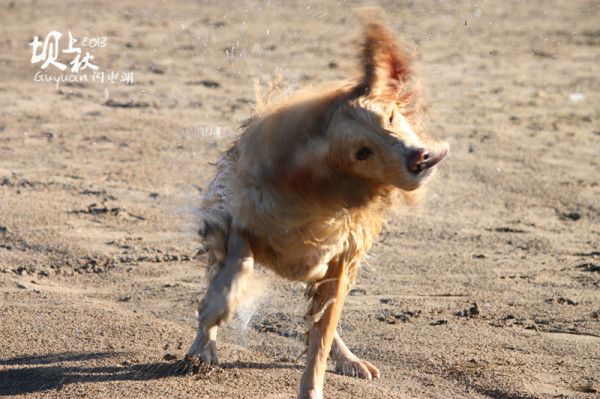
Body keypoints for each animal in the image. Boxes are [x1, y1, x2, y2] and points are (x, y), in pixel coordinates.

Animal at [183, 11, 450, 399]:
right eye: (362, 153)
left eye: (390, 118)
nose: (420, 158)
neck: (321, 196)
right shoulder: (242, 221)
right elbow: (237, 265)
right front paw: (218, 307)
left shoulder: (341, 260)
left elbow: (321, 337)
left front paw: (313, 385)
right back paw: (202, 348)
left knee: (322, 320)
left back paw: (347, 357)